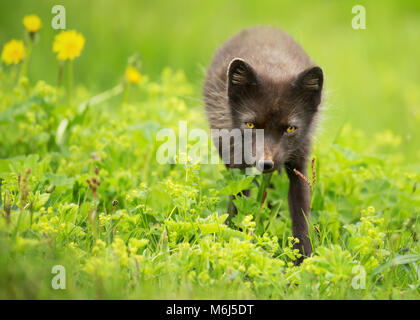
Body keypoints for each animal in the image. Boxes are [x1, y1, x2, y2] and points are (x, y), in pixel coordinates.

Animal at [203, 26, 324, 262]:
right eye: (250, 124)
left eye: (290, 128)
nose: (265, 164)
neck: (273, 65)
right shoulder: (238, 163)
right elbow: (238, 201)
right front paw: (235, 240)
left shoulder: (300, 162)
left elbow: (301, 210)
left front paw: (303, 260)